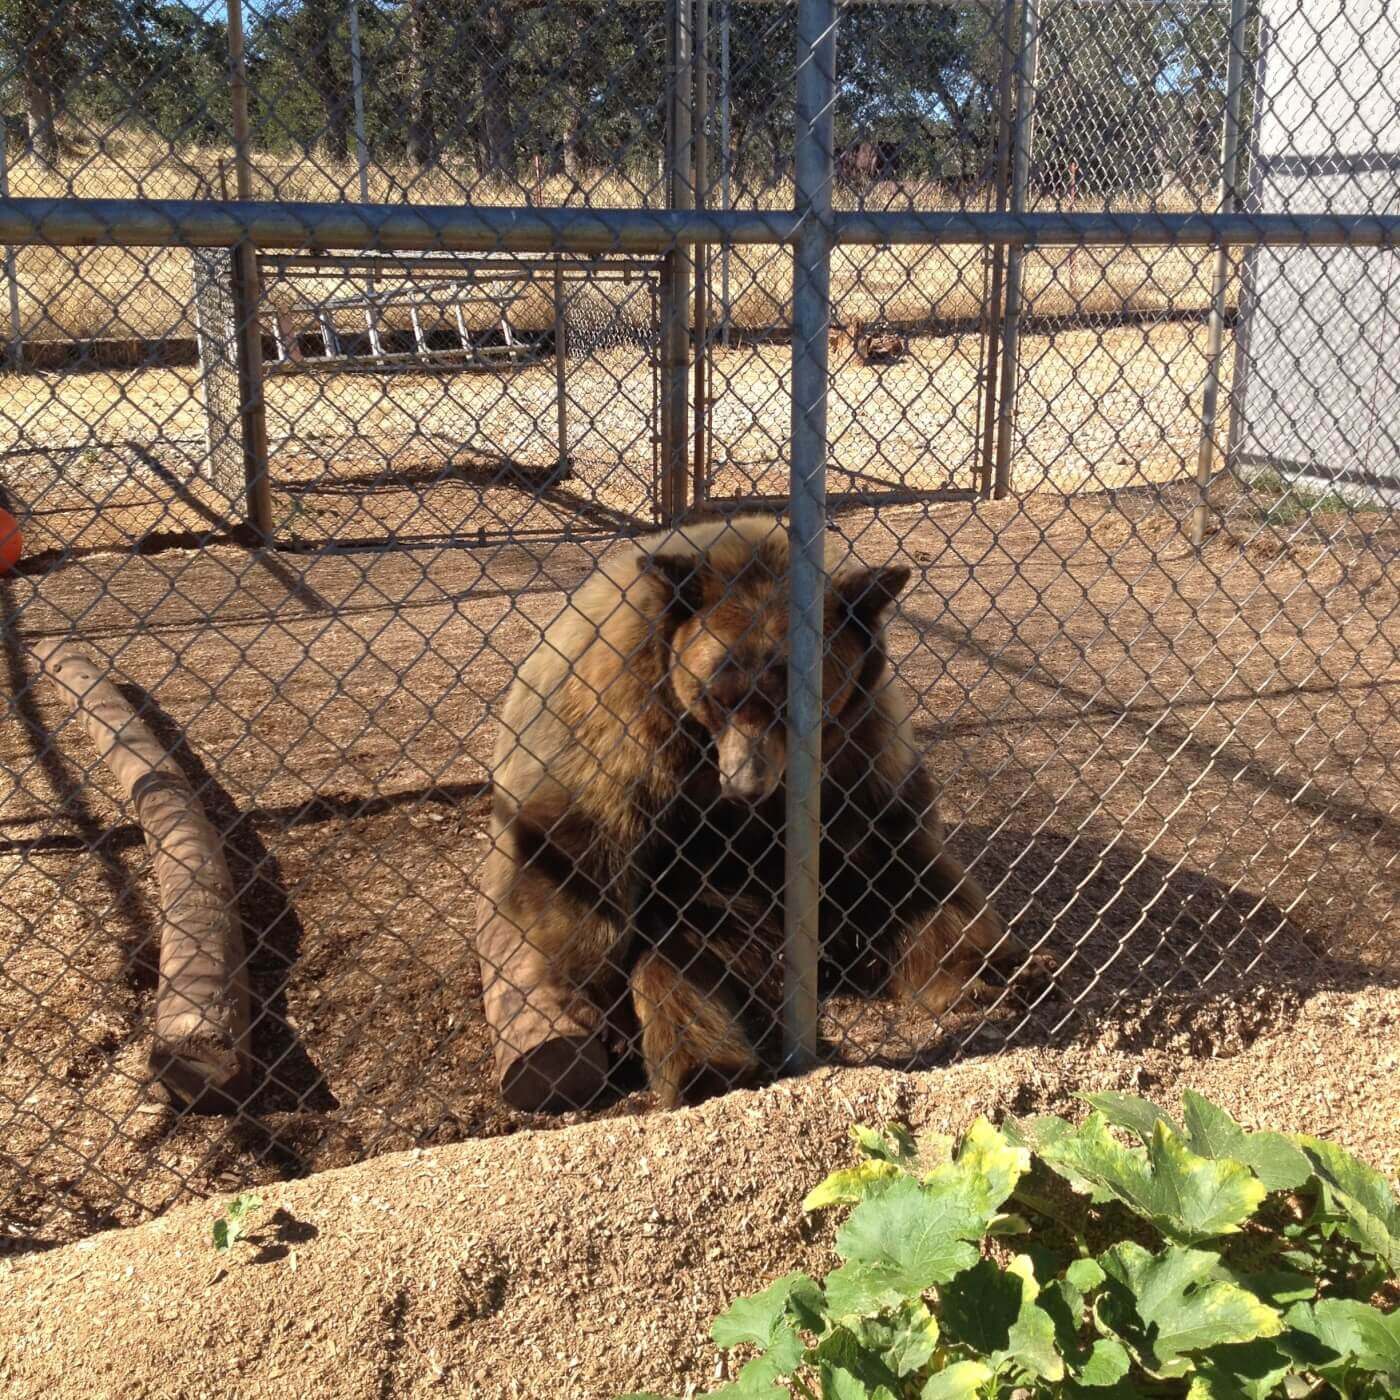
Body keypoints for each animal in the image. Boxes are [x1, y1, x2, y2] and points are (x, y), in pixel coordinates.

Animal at [476, 509, 1024, 1108]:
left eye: (794, 703)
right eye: (716, 694)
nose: (746, 785)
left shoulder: (858, 746)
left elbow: (896, 859)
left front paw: (985, 969)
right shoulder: (616, 731)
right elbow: (575, 859)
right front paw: (591, 1018)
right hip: (707, 910)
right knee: (675, 967)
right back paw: (708, 1070)